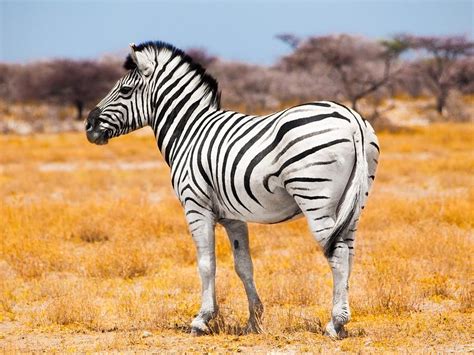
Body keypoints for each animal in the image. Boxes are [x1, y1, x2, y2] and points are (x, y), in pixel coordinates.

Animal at [85, 41, 380, 340]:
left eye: (124, 90)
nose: (89, 126)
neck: (188, 132)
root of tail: (351, 118)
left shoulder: (196, 206)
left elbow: (206, 263)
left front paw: (202, 319)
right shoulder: (233, 216)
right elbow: (243, 265)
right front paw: (254, 320)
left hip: (315, 197)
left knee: (338, 253)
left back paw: (335, 323)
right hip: (354, 203)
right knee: (349, 251)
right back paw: (341, 318)